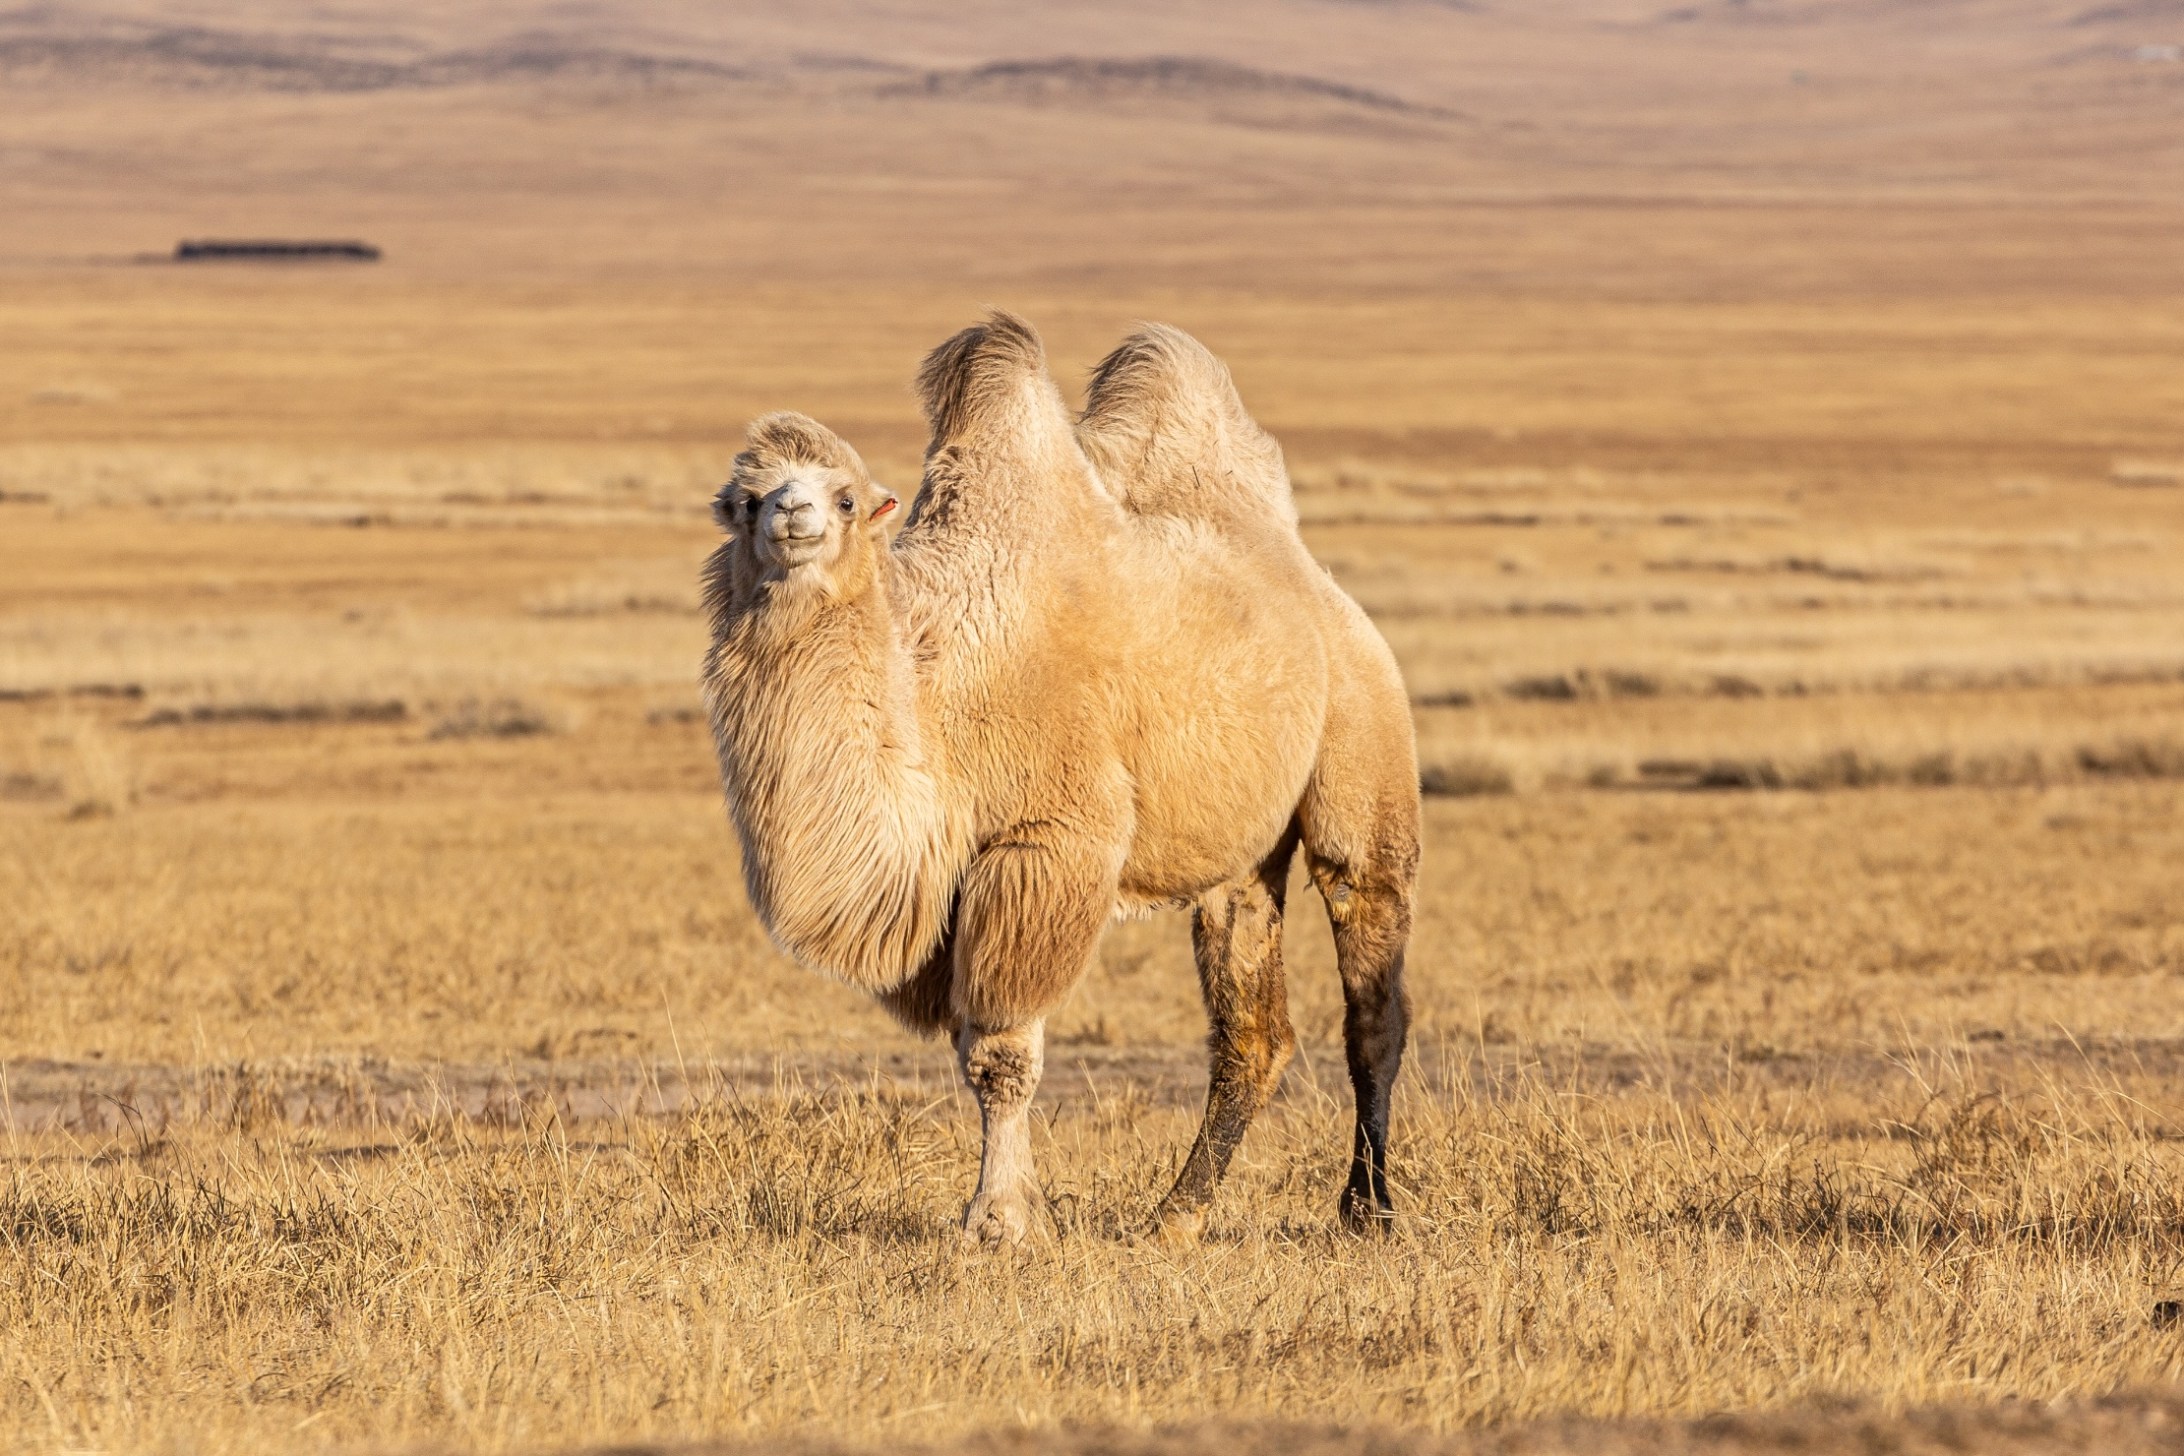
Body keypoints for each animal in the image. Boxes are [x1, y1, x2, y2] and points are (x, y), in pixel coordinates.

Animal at [700, 312, 1418, 1245]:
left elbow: (1003, 1053)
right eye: (748, 497)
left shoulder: (1044, 845)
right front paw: (1010, 1210)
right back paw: (1176, 1216)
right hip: (1239, 858)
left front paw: (998, 1219)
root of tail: (1319, 590)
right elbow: (973, 1049)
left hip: (1364, 744)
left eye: (847, 495)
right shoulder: (950, 898)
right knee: (1252, 1030)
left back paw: (1368, 1209)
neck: (939, 690)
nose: (793, 513)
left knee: (1372, 994)